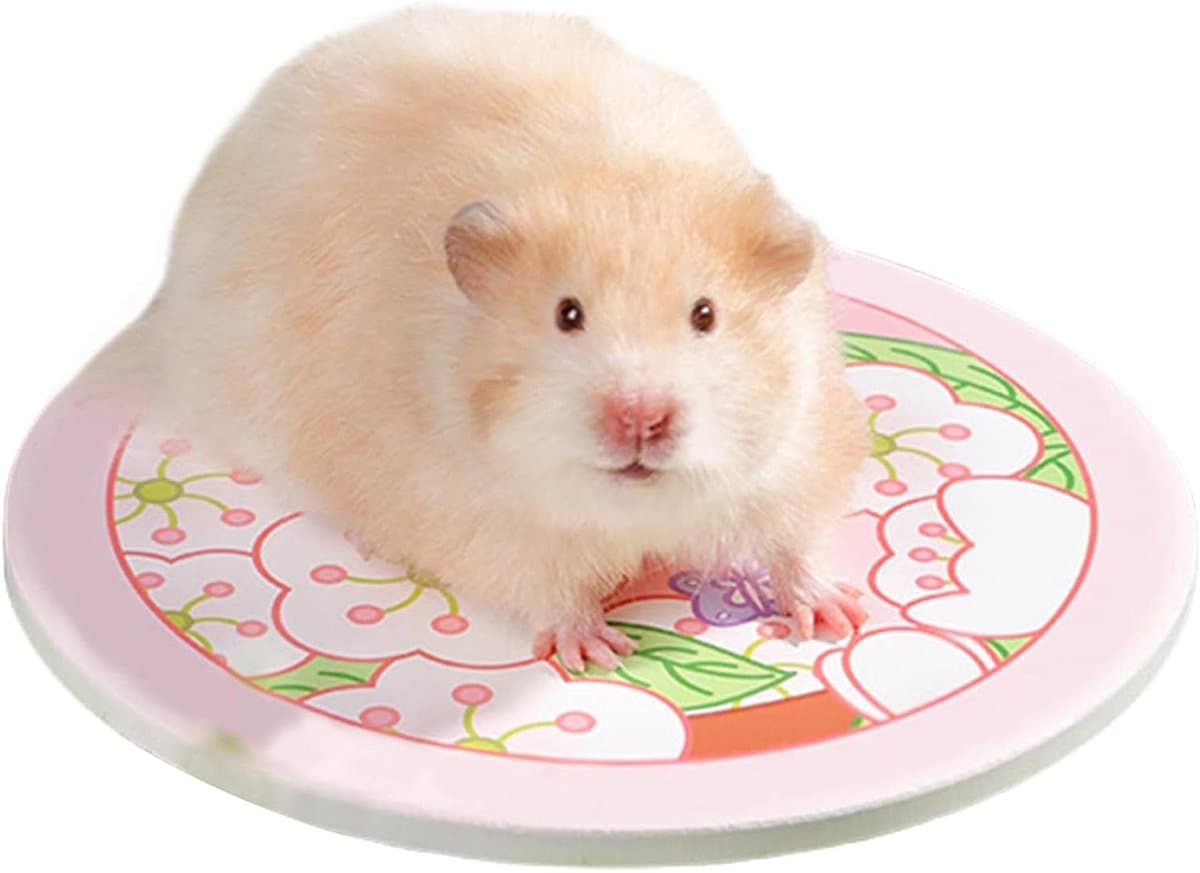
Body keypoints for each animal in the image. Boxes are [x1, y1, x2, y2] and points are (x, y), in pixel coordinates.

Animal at [128, 8, 869, 670]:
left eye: (706, 315)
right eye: (567, 314)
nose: (640, 417)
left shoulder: (801, 454)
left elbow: (797, 543)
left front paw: (838, 617)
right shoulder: (476, 519)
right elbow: (546, 589)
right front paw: (598, 652)